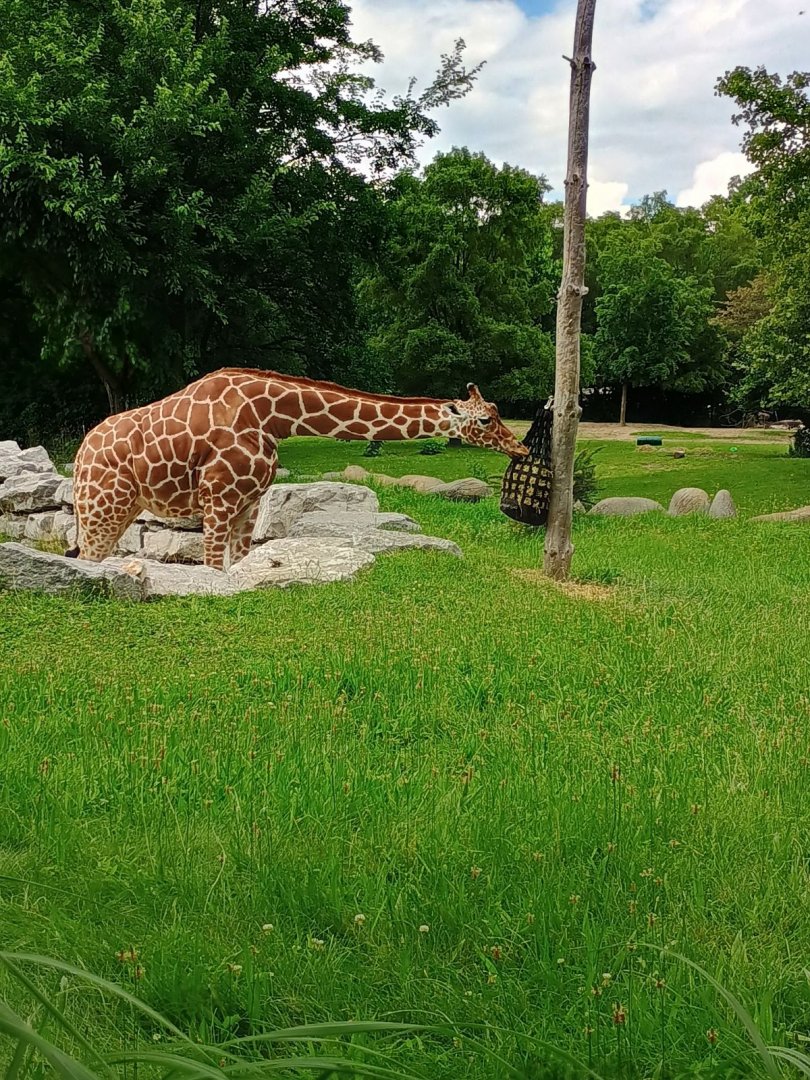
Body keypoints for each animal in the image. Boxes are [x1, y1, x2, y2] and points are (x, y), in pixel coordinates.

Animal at [70, 369, 529, 570]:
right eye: (485, 420)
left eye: (496, 411)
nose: (520, 447)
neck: (273, 417)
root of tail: (79, 455)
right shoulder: (217, 500)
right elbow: (214, 571)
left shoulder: (248, 504)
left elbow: (238, 568)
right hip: (102, 509)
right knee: (88, 559)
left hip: (118, 511)